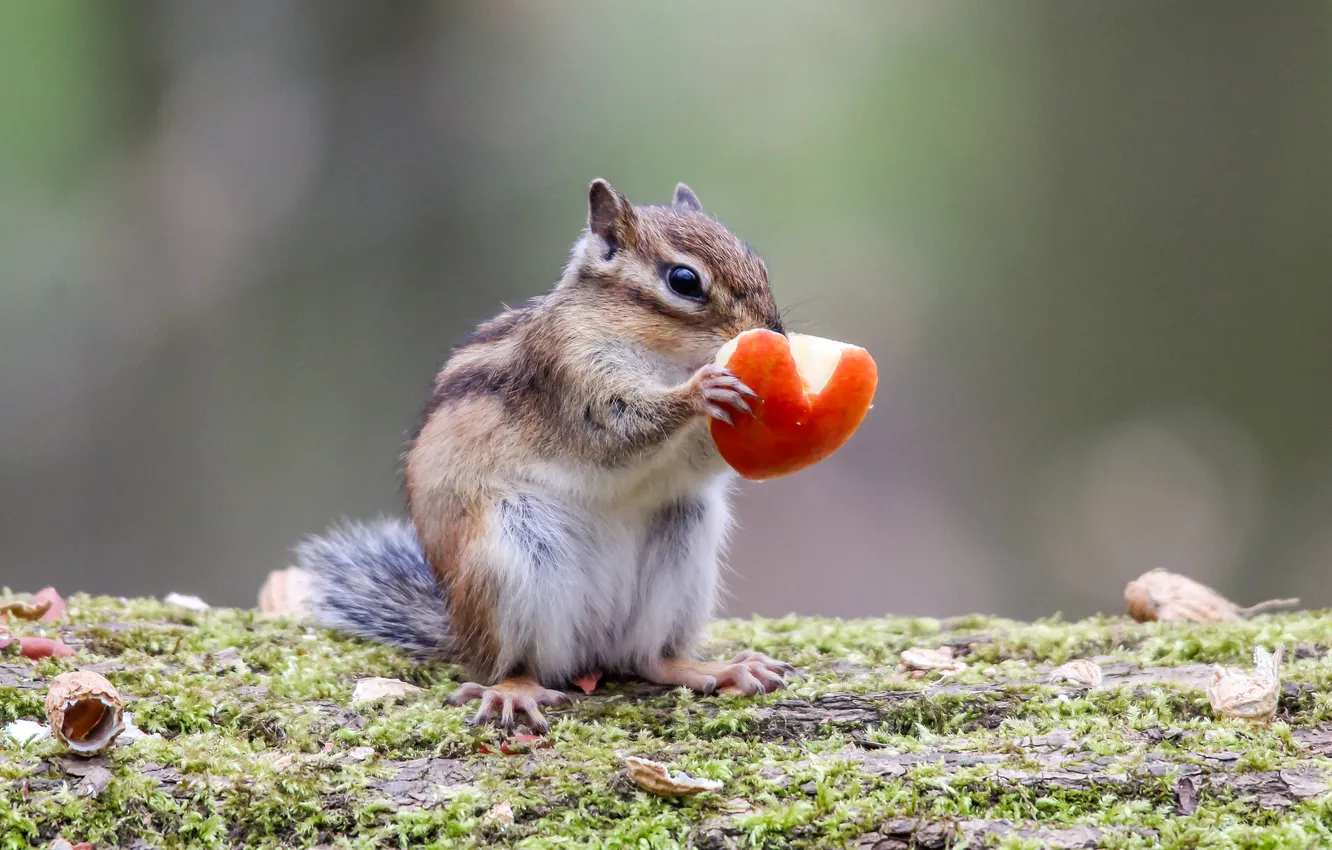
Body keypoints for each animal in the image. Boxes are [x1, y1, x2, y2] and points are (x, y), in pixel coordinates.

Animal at [296, 179, 794, 732]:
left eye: (758, 263)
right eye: (684, 281)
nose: (777, 336)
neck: (666, 358)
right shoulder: (571, 376)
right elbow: (620, 429)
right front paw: (701, 391)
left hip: (685, 548)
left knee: (649, 659)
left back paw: (717, 669)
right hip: (510, 560)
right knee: (516, 663)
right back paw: (514, 691)